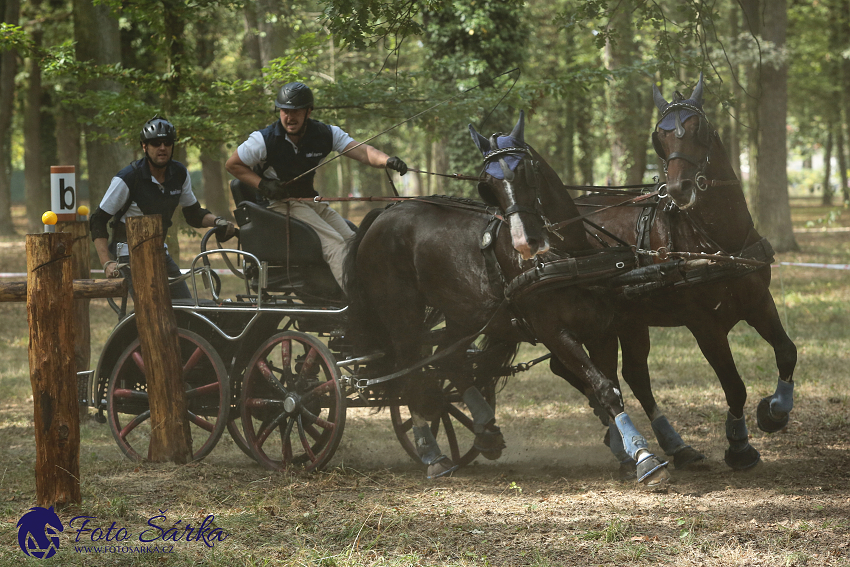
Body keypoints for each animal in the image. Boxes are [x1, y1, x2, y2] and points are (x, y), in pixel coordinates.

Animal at [344, 112, 668, 488]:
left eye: (525, 170)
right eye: (488, 184)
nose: (526, 242)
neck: (567, 258)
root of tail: (383, 214)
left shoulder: (600, 329)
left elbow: (608, 387)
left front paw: (628, 451)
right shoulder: (553, 332)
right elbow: (603, 387)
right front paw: (643, 457)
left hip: (462, 314)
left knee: (448, 359)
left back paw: (485, 429)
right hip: (402, 314)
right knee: (410, 374)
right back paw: (433, 456)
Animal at [564, 76, 796, 474]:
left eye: (698, 127)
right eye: (660, 135)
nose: (677, 189)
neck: (718, 240)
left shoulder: (758, 301)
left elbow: (786, 352)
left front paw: (774, 412)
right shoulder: (704, 325)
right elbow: (734, 385)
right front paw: (739, 445)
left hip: (630, 320)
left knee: (631, 374)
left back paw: (673, 445)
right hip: (595, 325)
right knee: (597, 374)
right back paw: (626, 447)